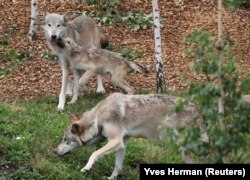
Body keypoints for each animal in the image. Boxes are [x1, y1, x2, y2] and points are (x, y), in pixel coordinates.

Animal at [53, 93, 204, 179]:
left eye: (65, 140)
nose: (54, 151)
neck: (98, 118)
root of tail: (198, 108)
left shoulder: (116, 141)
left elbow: (94, 154)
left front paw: (86, 168)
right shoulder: (122, 144)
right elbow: (118, 166)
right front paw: (111, 178)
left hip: (187, 147)